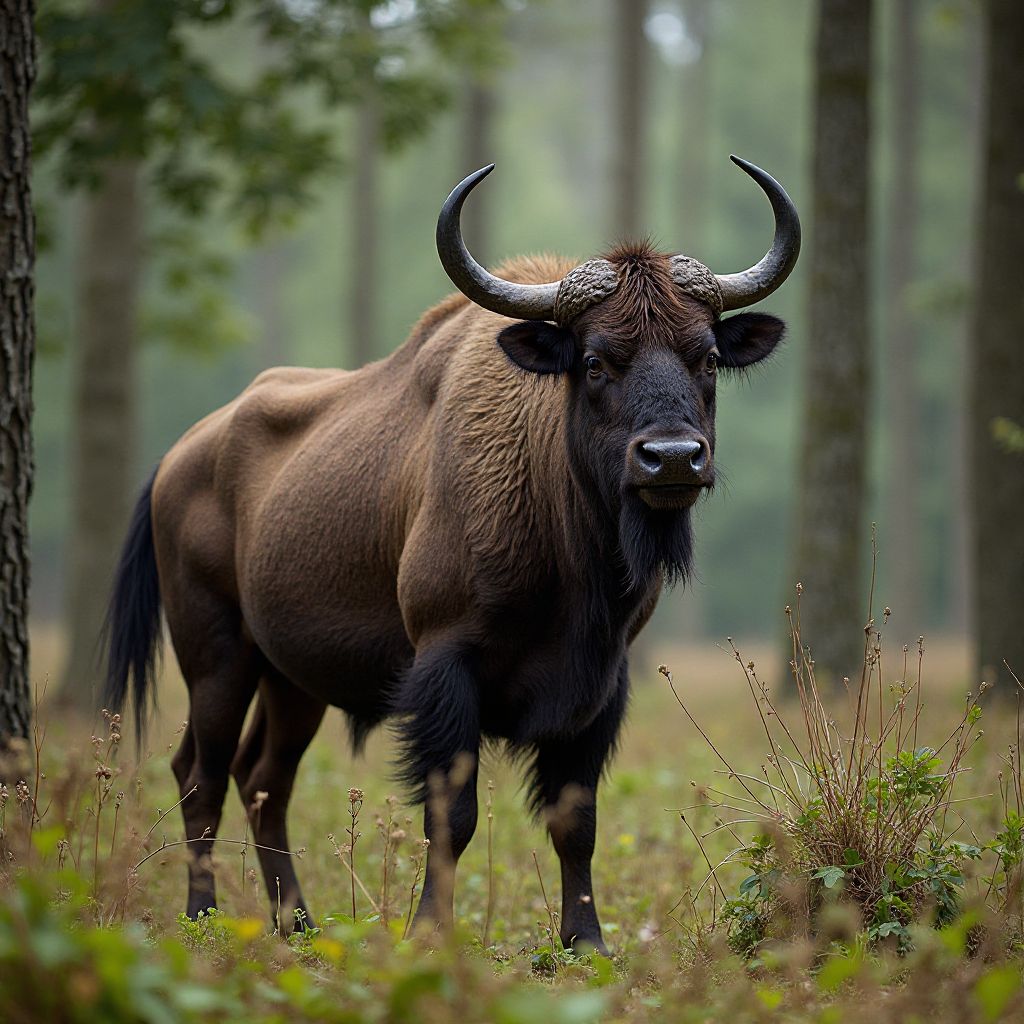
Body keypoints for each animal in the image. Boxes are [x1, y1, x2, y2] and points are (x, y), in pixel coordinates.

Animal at [104, 156, 800, 953]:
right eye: (595, 362)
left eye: (708, 357)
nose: (674, 458)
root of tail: (179, 457)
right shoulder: (445, 668)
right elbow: (453, 815)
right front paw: (430, 930)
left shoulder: (602, 686)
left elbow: (576, 821)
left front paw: (585, 941)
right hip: (216, 657)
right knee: (201, 773)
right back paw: (203, 917)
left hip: (292, 682)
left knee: (262, 779)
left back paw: (297, 922)